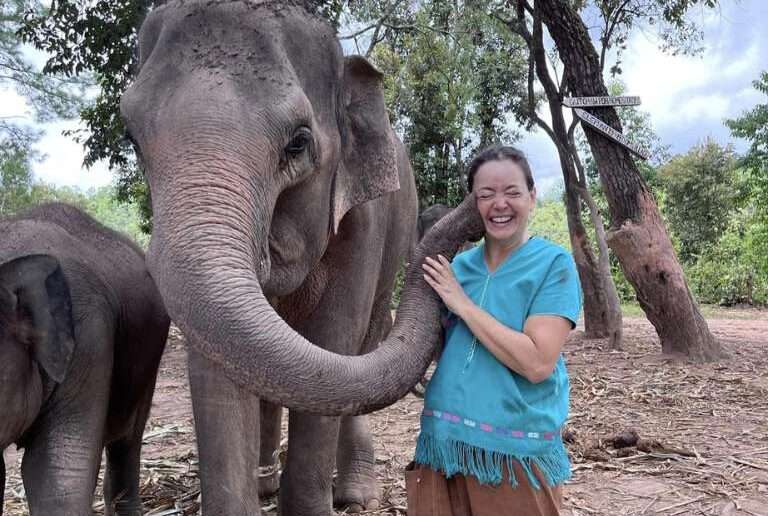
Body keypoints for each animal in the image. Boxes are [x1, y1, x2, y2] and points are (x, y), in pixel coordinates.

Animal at [120, 1, 484, 515]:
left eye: (298, 141)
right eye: (131, 138)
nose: (477, 196)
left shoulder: (363, 219)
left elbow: (335, 336)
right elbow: (218, 357)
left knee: (365, 342)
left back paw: (355, 494)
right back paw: (265, 482)